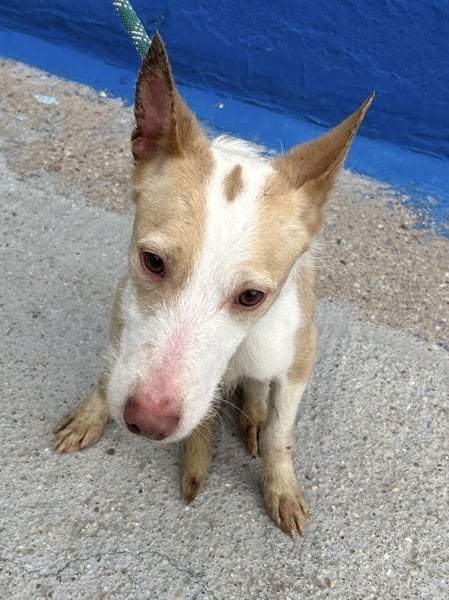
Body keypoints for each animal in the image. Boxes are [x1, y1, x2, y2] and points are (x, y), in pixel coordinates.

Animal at [53, 33, 373, 537]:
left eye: (252, 297)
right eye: (152, 262)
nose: (146, 423)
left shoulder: (300, 357)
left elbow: (281, 434)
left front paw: (279, 484)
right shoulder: (123, 312)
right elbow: (110, 374)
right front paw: (92, 413)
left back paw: (253, 416)